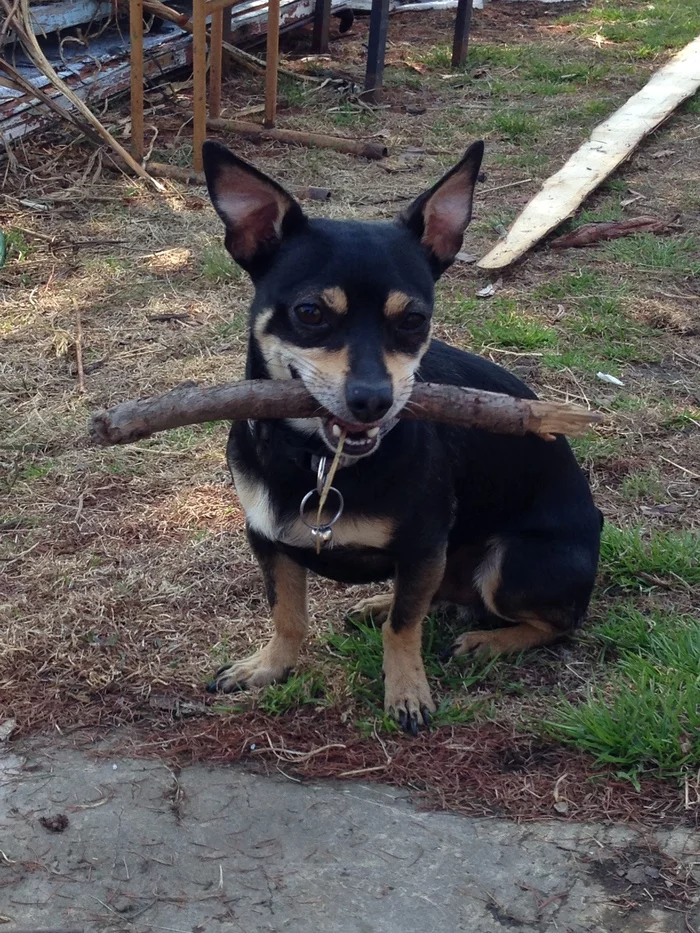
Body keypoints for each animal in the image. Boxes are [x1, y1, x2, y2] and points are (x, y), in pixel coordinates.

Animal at [201, 140, 600, 736]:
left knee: (557, 623)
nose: (373, 399)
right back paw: (379, 606)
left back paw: (487, 640)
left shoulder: (423, 543)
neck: (321, 461)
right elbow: (288, 614)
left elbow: (403, 627)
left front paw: (407, 692)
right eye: (309, 312)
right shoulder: (268, 540)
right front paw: (268, 667)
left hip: (513, 563)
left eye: (413, 319)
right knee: (438, 595)